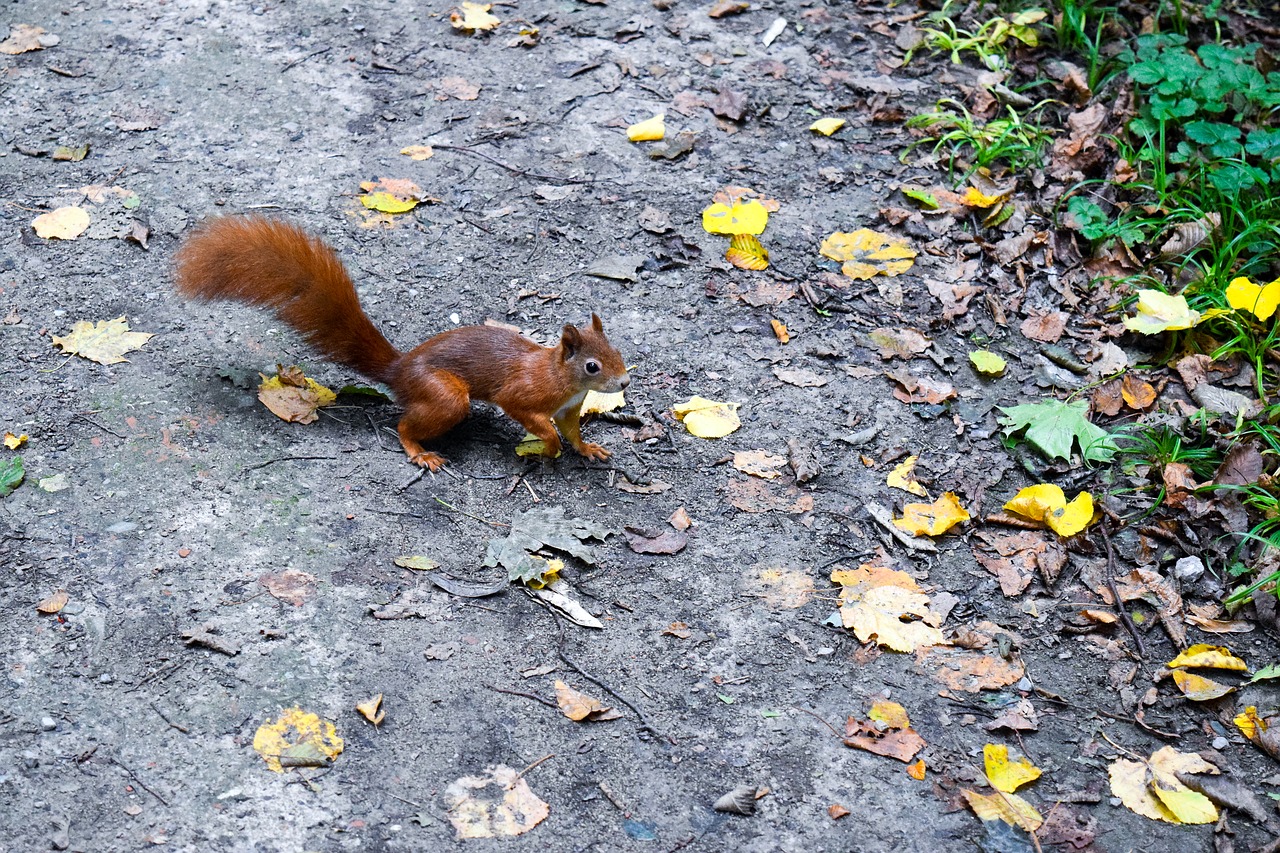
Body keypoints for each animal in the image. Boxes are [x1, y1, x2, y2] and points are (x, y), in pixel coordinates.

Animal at [172, 211, 632, 466]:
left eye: (617, 351)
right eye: (592, 366)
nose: (625, 381)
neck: (561, 378)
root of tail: (399, 371)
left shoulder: (570, 408)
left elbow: (572, 430)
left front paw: (587, 449)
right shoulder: (524, 395)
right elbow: (533, 419)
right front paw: (549, 447)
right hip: (447, 397)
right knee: (403, 424)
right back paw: (420, 452)